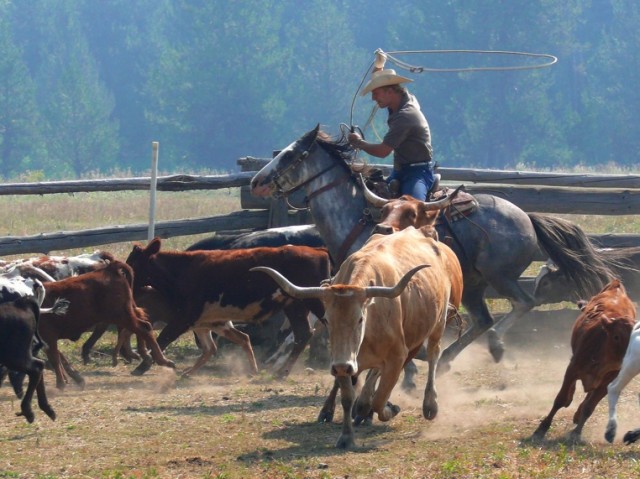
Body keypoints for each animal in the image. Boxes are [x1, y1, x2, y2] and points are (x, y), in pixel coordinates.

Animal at [39, 258, 175, 390]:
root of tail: (110, 269)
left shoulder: (48, 336)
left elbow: (55, 359)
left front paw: (61, 383)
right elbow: (58, 358)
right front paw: (75, 379)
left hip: (121, 316)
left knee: (142, 328)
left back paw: (162, 361)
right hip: (128, 313)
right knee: (142, 326)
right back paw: (149, 357)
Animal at [125, 238, 330, 376]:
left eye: (132, 263)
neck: (182, 270)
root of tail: (319, 250)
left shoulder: (184, 318)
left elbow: (161, 339)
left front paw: (143, 366)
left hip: (314, 301)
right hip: (295, 306)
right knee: (303, 334)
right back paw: (282, 372)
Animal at [252, 226, 462, 450]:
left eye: (360, 319)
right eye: (326, 320)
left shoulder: (397, 356)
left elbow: (380, 398)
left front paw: (388, 409)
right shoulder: (344, 363)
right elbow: (348, 397)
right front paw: (346, 436)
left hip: (438, 323)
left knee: (433, 355)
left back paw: (430, 404)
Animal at [528, 282, 636, 442]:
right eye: (616, 336)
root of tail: (615, 285)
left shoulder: (608, 381)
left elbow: (589, 407)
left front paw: (576, 432)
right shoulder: (572, 369)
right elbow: (560, 399)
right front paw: (542, 428)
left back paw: (577, 415)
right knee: (569, 394)